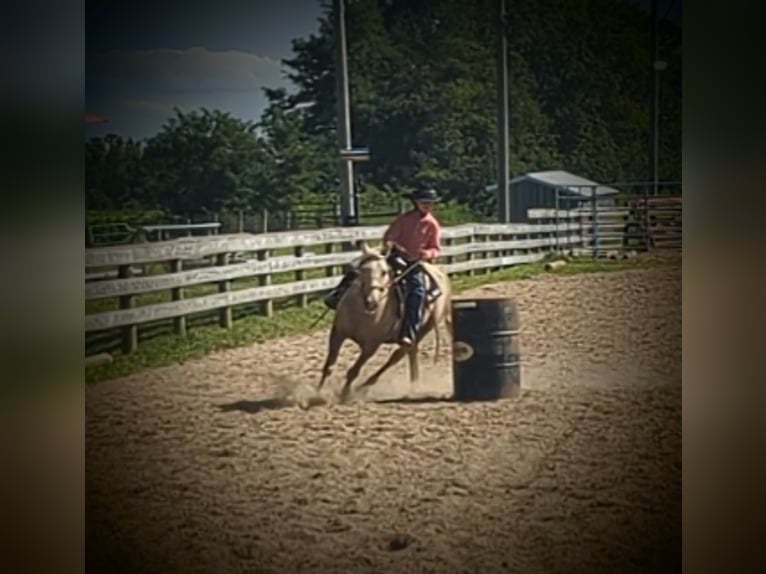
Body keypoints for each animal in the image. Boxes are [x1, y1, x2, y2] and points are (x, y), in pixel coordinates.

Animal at [316, 244, 452, 404]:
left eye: (384, 272)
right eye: (361, 270)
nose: (371, 301)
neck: (362, 313)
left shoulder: (371, 345)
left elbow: (354, 371)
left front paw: (344, 394)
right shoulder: (338, 333)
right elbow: (328, 367)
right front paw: (317, 394)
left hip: (424, 329)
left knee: (396, 356)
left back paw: (363, 387)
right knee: (411, 352)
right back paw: (414, 384)